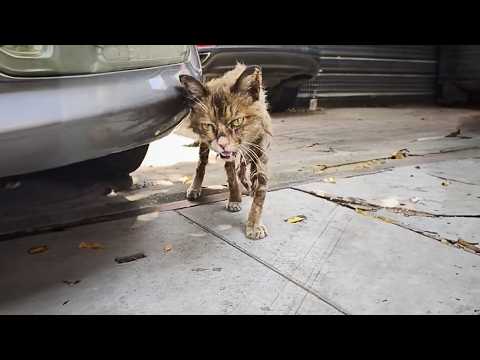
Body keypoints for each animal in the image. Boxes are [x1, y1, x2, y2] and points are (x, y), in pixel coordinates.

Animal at [180, 64, 272, 239]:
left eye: (237, 121)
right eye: (208, 125)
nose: (222, 144)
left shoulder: (260, 150)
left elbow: (260, 190)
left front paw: (254, 224)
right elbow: (230, 175)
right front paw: (235, 198)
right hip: (205, 146)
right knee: (202, 164)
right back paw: (196, 187)